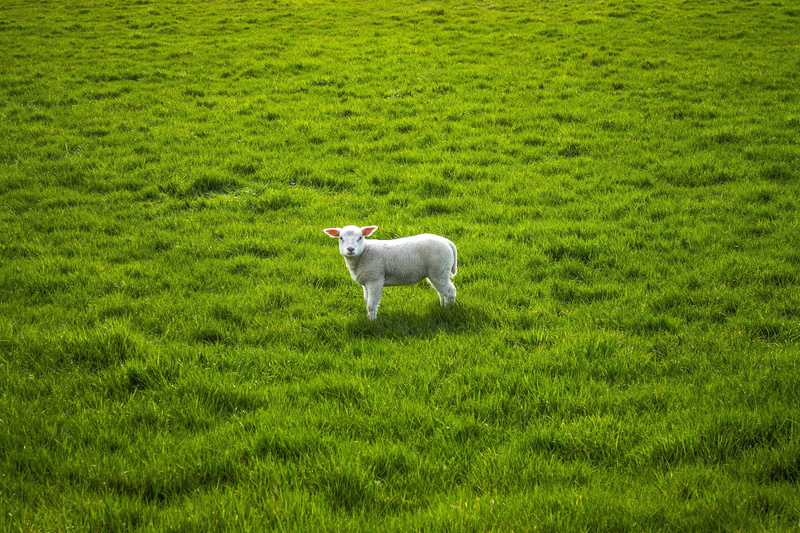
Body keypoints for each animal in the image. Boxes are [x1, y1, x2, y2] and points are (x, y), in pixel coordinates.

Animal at [323, 225, 457, 320]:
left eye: (360, 237)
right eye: (341, 238)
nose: (350, 249)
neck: (364, 253)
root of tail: (448, 243)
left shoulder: (375, 279)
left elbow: (371, 304)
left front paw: (372, 322)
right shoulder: (366, 282)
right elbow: (367, 301)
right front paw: (369, 318)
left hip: (439, 270)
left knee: (450, 291)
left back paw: (448, 310)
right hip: (437, 272)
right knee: (442, 292)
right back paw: (442, 307)